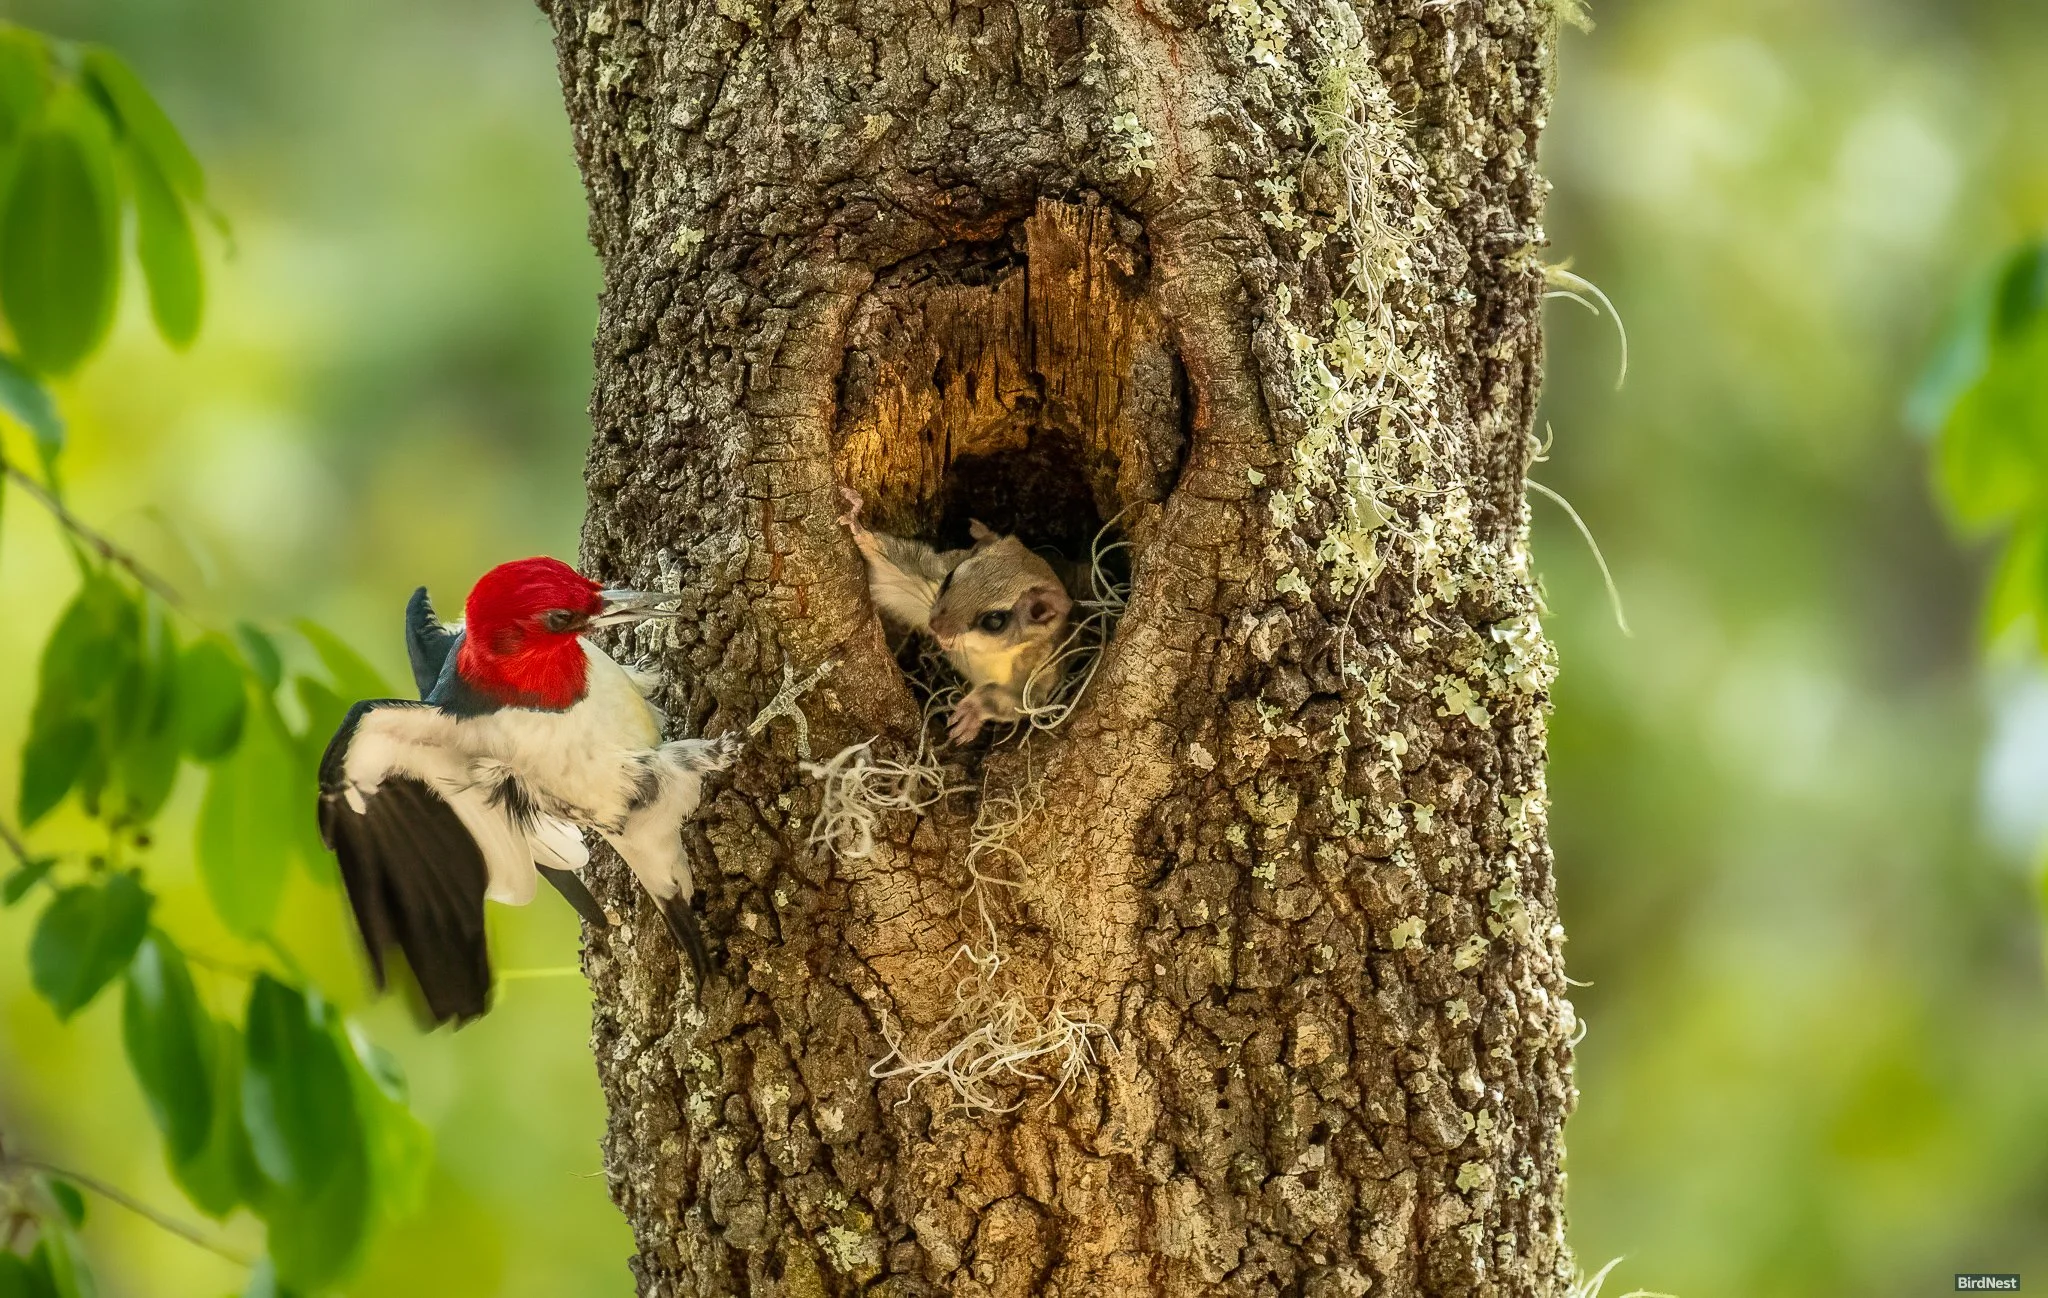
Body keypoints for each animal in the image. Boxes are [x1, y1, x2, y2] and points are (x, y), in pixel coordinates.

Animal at [838, 487, 1074, 743]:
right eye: (950, 576)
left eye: (994, 621)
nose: (935, 625)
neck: (981, 653)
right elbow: (889, 572)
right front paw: (856, 522)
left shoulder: (1041, 673)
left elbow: (1014, 701)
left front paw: (970, 714)